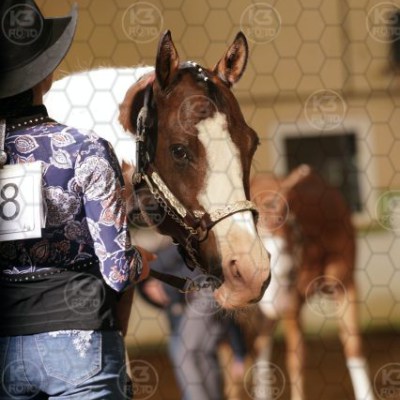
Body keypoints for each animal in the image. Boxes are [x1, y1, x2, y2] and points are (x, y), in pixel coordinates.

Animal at [249, 165, 374, 400]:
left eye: (288, 266)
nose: (275, 305)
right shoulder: (291, 305)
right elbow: (296, 359)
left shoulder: (347, 287)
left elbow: (353, 344)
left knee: (261, 342)